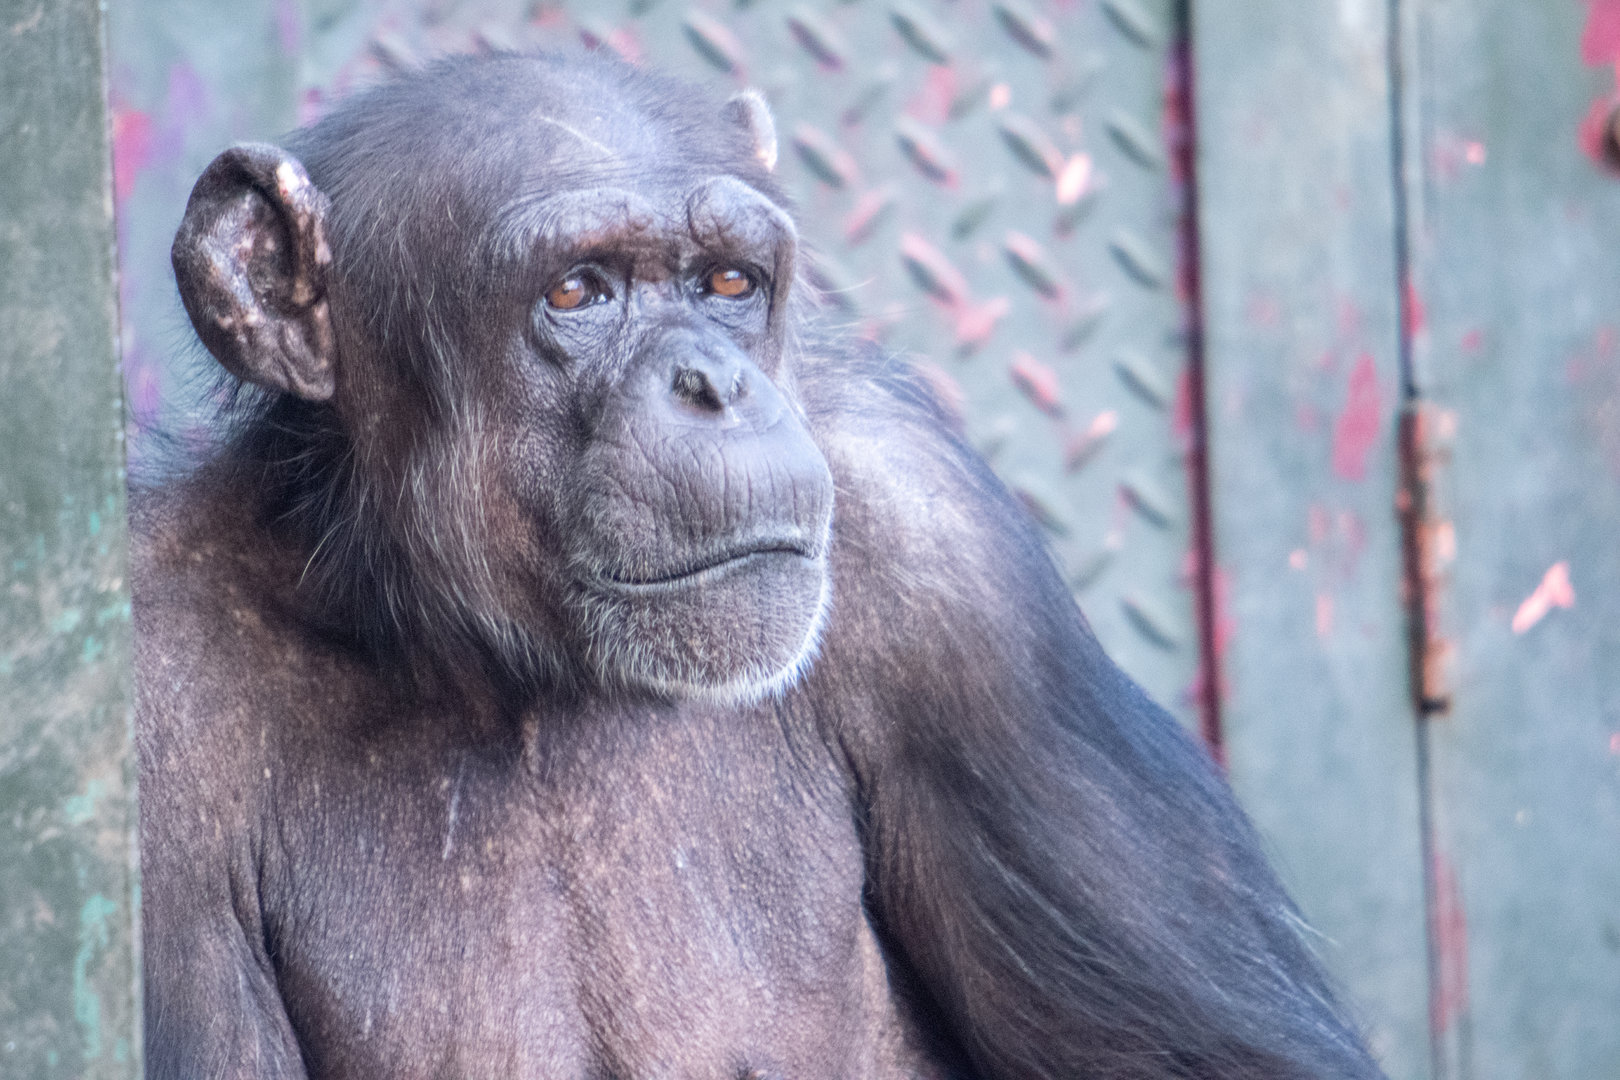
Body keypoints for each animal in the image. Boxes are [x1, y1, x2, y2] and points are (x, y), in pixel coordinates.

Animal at [134, 51, 1386, 1080]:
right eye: (578, 291)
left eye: (729, 284)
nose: (712, 384)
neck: (499, 667)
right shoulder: (152, 707)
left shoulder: (958, 580)